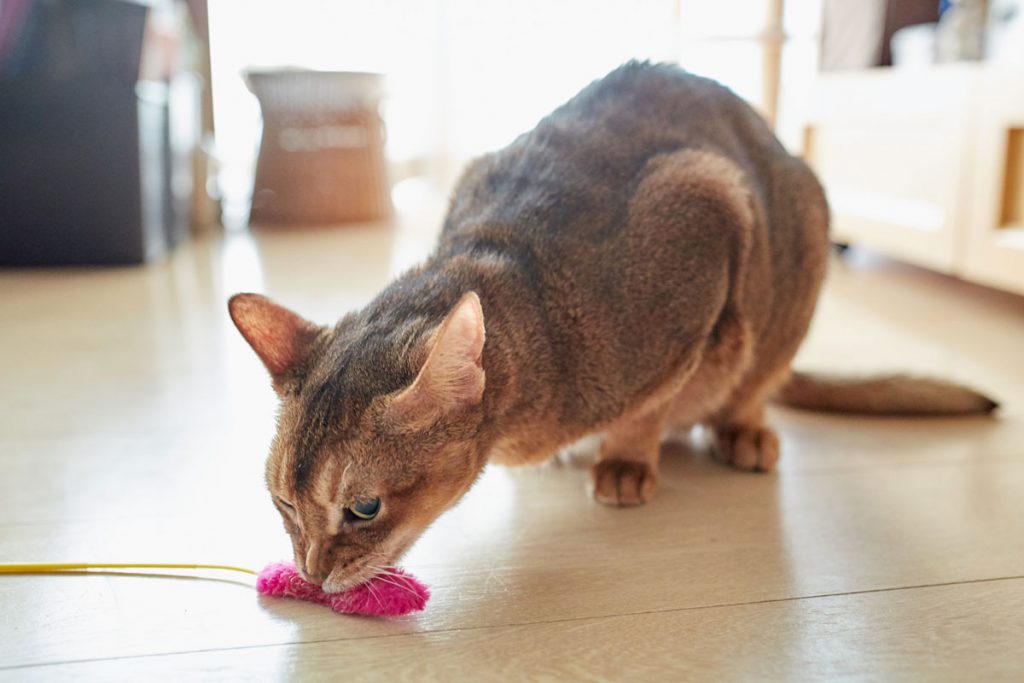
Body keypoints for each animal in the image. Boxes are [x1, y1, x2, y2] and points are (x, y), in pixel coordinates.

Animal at [228, 61, 995, 593]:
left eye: (363, 507)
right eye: (282, 502)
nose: (312, 574)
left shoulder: (703, 217)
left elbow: (650, 405)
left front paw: (624, 458)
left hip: (800, 235)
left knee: (759, 382)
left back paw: (741, 430)